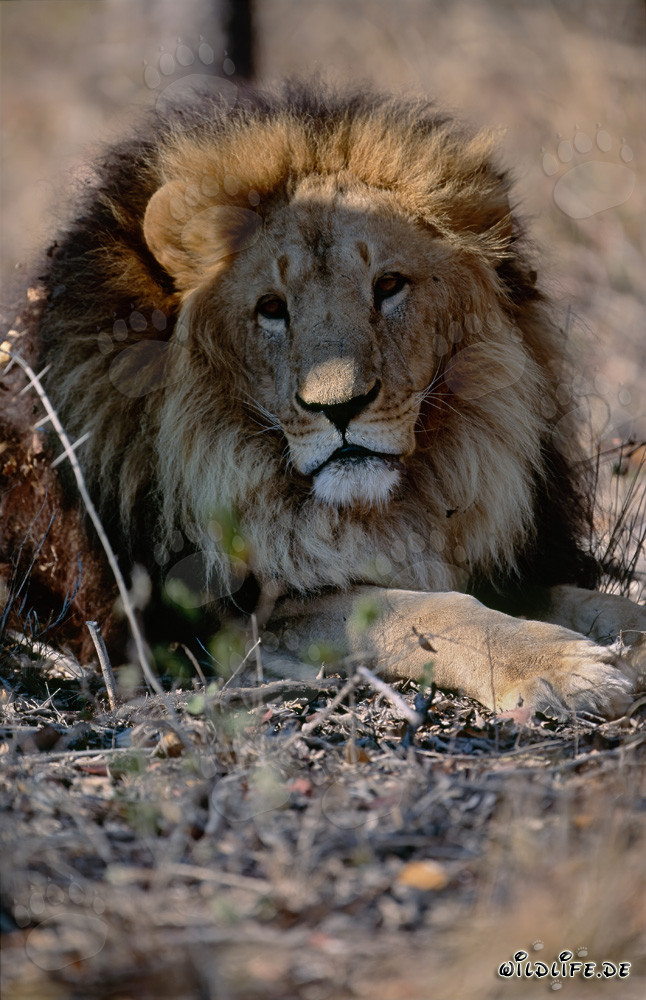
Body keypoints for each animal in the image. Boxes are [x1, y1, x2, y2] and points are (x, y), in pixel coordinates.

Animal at [1, 84, 644, 718]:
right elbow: (424, 610)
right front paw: (561, 667)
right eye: (271, 308)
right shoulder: (233, 621)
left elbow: (593, 602)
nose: (339, 408)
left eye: (388, 286)